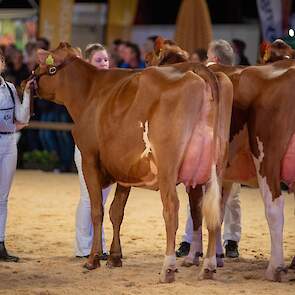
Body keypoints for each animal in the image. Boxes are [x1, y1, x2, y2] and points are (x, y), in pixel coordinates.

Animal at [29, 42, 234, 284]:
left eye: (43, 64)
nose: (27, 81)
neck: (90, 92)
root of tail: (197, 68)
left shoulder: (89, 159)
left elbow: (97, 211)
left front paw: (93, 259)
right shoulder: (124, 170)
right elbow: (116, 211)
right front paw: (115, 257)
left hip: (168, 168)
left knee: (171, 208)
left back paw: (168, 268)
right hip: (216, 168)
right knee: (213, 211)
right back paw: (209, 267)